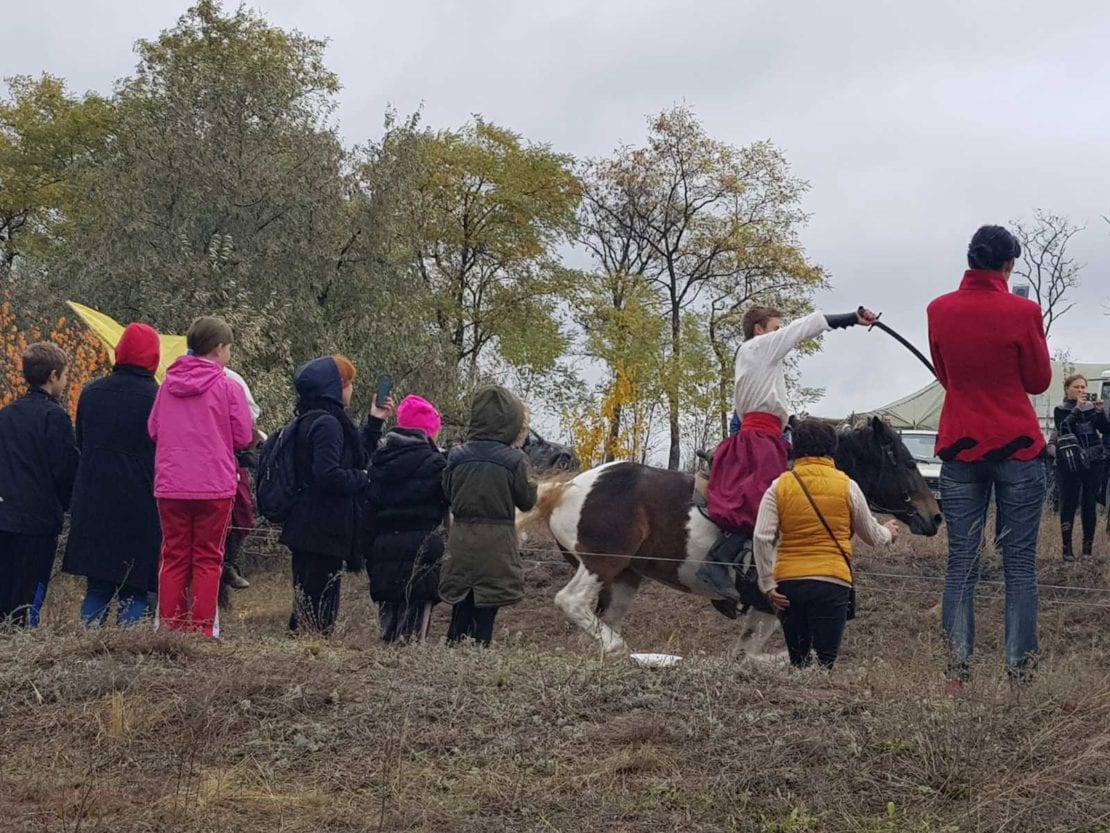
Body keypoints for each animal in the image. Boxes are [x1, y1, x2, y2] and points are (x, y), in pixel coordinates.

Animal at [523, 419, 941, 657]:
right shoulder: (774, 600)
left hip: (625, 577)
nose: (934, 516)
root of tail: (564, 488)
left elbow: (745, 652)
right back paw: (621, 649)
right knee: (571, 601)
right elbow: (757, 653)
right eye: (908, 463)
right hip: (601, 562)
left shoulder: (763, 606)